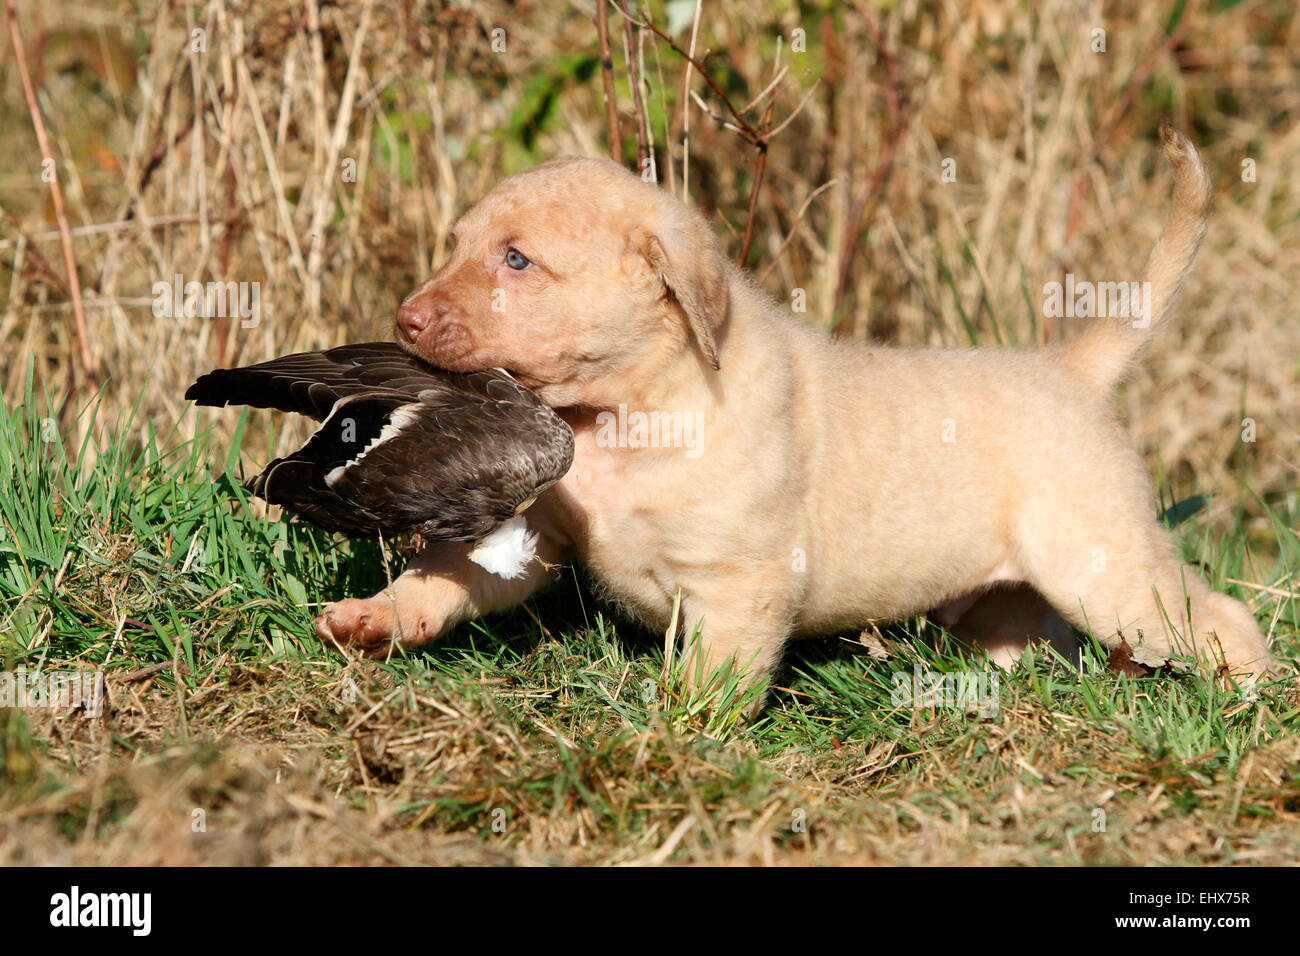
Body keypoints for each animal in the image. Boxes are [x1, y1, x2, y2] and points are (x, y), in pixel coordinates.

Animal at [312, 123, 1268, 697]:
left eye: (517, 260)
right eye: (460, 246)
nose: (405, 318)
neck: (626, 410)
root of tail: (1070, 371)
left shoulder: (744, 583)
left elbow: (712, 679)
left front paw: (678, 735)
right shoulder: (532, 532)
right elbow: (448, 576)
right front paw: (375, 620)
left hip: (1102, 564)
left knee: (1222, 616)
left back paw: (1247, 698)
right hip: (1012, 598)